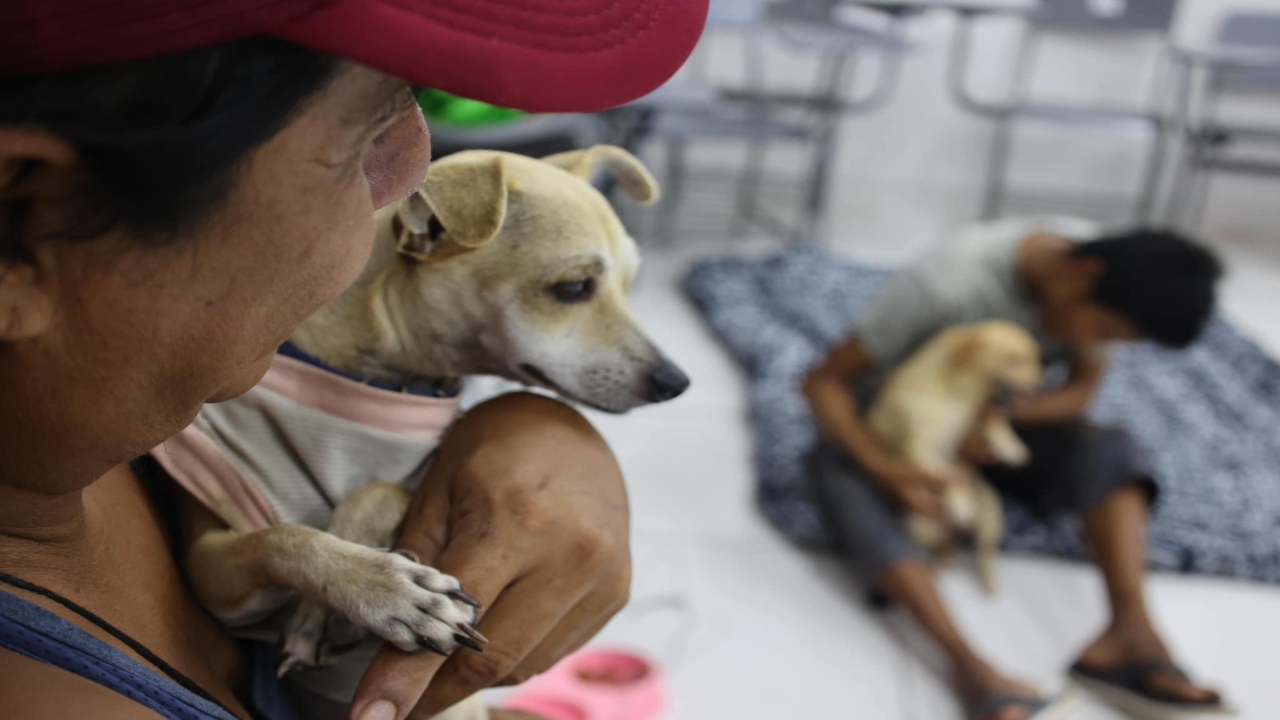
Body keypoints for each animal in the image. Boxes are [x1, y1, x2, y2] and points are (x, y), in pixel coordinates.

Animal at [177, 146, 691, 712]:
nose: (676, 381)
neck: (380, 378)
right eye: (573, 288)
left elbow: (375, 492)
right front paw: (386, 590)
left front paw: (337, 609)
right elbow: (284, 537)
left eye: (629, 286)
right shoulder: (211, 573)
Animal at [870, 319, 1039, 589]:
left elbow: (991, 420)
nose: (1036, 387)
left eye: (1035, 359)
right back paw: (944, 559)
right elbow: (946, 474)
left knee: (982, 552)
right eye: (1012, 359)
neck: (959, 394)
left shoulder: (969, 426)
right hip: (922, 530)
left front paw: (1011, 446)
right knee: (947, 544)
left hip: (992, 520)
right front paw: (961, 501)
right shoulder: (919, 447)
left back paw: (988, 581)